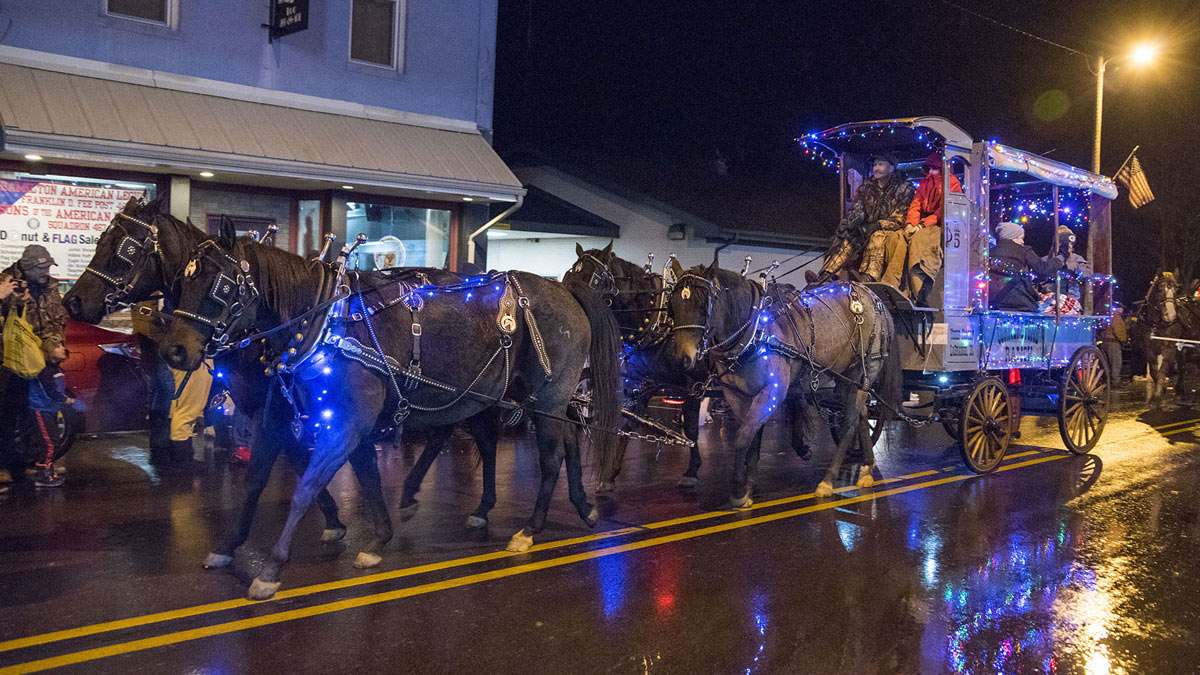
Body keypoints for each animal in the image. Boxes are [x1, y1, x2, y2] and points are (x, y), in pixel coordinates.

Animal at [158, 218, 619, 595]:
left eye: (220, 285)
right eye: (180, 283)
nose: (174, 351)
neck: (326, 323)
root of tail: (565, 290)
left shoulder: (344, 424)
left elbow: (306, 488)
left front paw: (271, 569)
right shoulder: (290, 420)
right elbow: (291, 480)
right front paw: (376, 538)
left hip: (548, 395)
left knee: (550, 456)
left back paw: (530, 529)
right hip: (517, 397)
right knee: (553, 443)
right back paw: (578, 507)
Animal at [667, 263, 902, 504]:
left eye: (703, 304)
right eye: (671, 305)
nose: (680, 359)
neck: (755, 331)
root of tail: (874, 298)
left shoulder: (771, 392)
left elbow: (742, 437)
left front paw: (739, 492)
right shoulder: (738, 395)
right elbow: (751, 437)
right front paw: (749, 485)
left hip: (866, 369)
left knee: (850, 422)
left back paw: (828, 480)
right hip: (846, 377)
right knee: (862, 413)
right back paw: (867, 468)